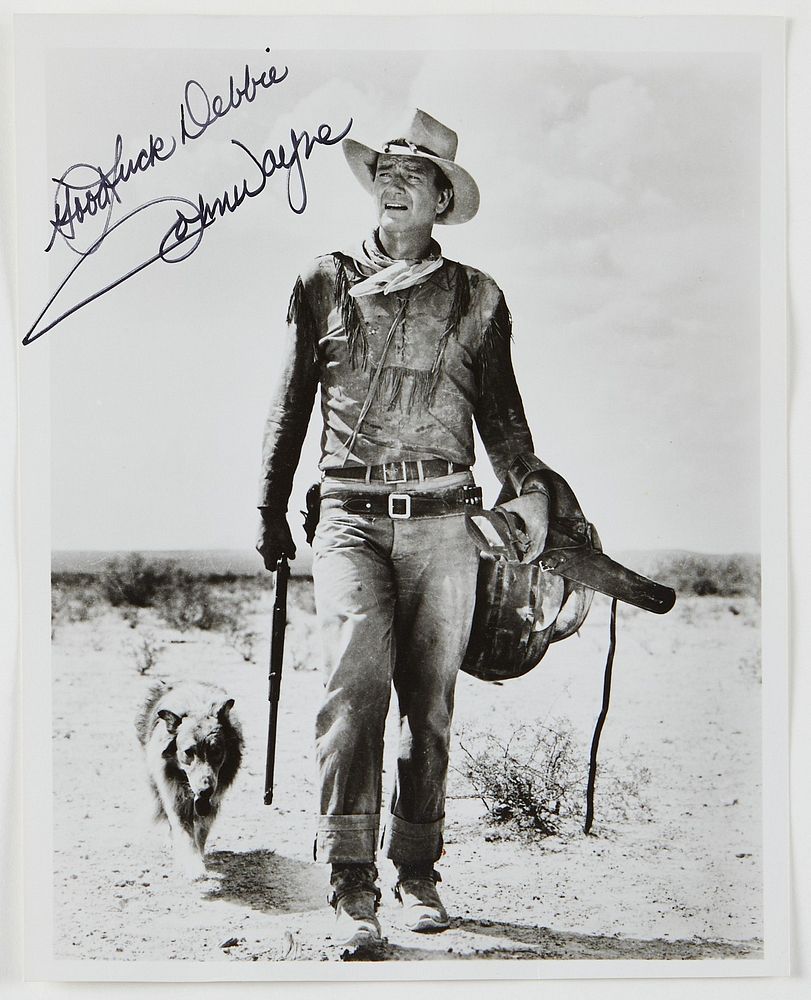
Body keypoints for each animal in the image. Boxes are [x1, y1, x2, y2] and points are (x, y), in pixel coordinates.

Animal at [136, 680, 244, 876]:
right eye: (188, 752)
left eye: (216, 751)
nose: (205, 790)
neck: (197, 708)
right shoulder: (175, 797)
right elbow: (185, 833)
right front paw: (193, 866)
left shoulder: (211, 804)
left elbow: (200, 834)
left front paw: (198, 859)